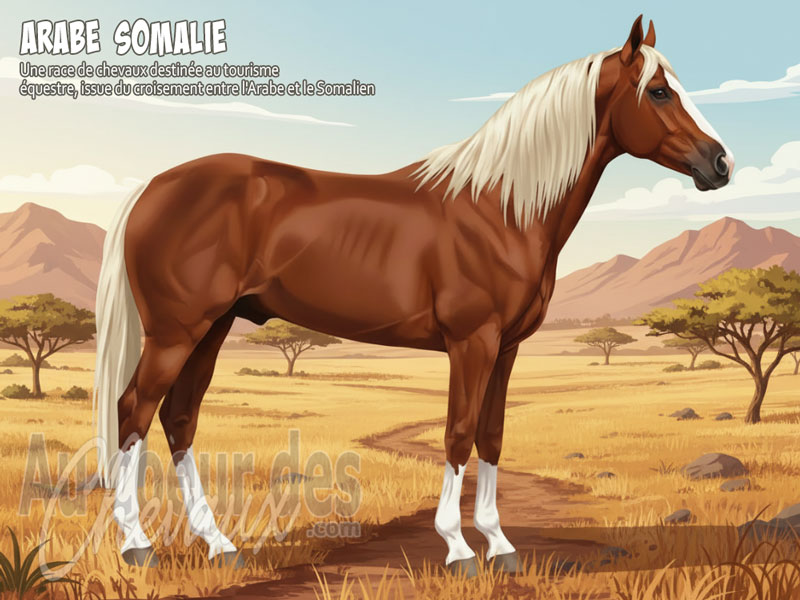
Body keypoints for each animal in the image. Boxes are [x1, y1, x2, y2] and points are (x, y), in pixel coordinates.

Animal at [93, 15, 733, 573]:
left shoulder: (506, 348)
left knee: (179, 419)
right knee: (133, 411)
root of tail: (153, 187)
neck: (501, 208)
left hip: (213, 328)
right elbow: (457, 435)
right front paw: (459, 549)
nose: (721, 163)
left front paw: (501, 545)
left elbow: (492, 436)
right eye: (659, 92)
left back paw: (220, 545)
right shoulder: (471, 342)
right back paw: (137, 545)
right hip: (176, 332)